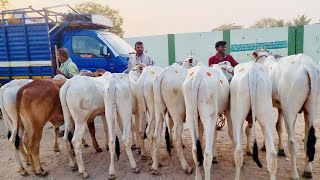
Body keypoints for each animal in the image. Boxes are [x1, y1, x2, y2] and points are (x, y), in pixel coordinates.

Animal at [254, 48, 318, 179]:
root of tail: (308, 66)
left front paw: (265, 146)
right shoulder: (280, 107)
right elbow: (278, 126)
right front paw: (280, 150)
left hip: (290, 109)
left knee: (292, 142)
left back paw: (294, 174)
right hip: (311, 109)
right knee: (309, 140)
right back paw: (307, 171)